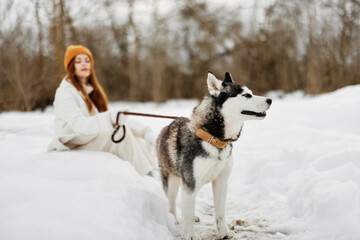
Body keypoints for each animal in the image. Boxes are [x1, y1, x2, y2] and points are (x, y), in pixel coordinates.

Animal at [156, 72, 272, 239]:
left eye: (251, 92)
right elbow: (187, 214)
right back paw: (174, 220)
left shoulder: (221, 182)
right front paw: (190, 235)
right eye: (246, 95)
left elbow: (220, 213)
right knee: (172, 204)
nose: (270, 100)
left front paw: (224, 232)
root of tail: (165, 128)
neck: (213, 139)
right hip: (172, 181)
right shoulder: (190, 183)